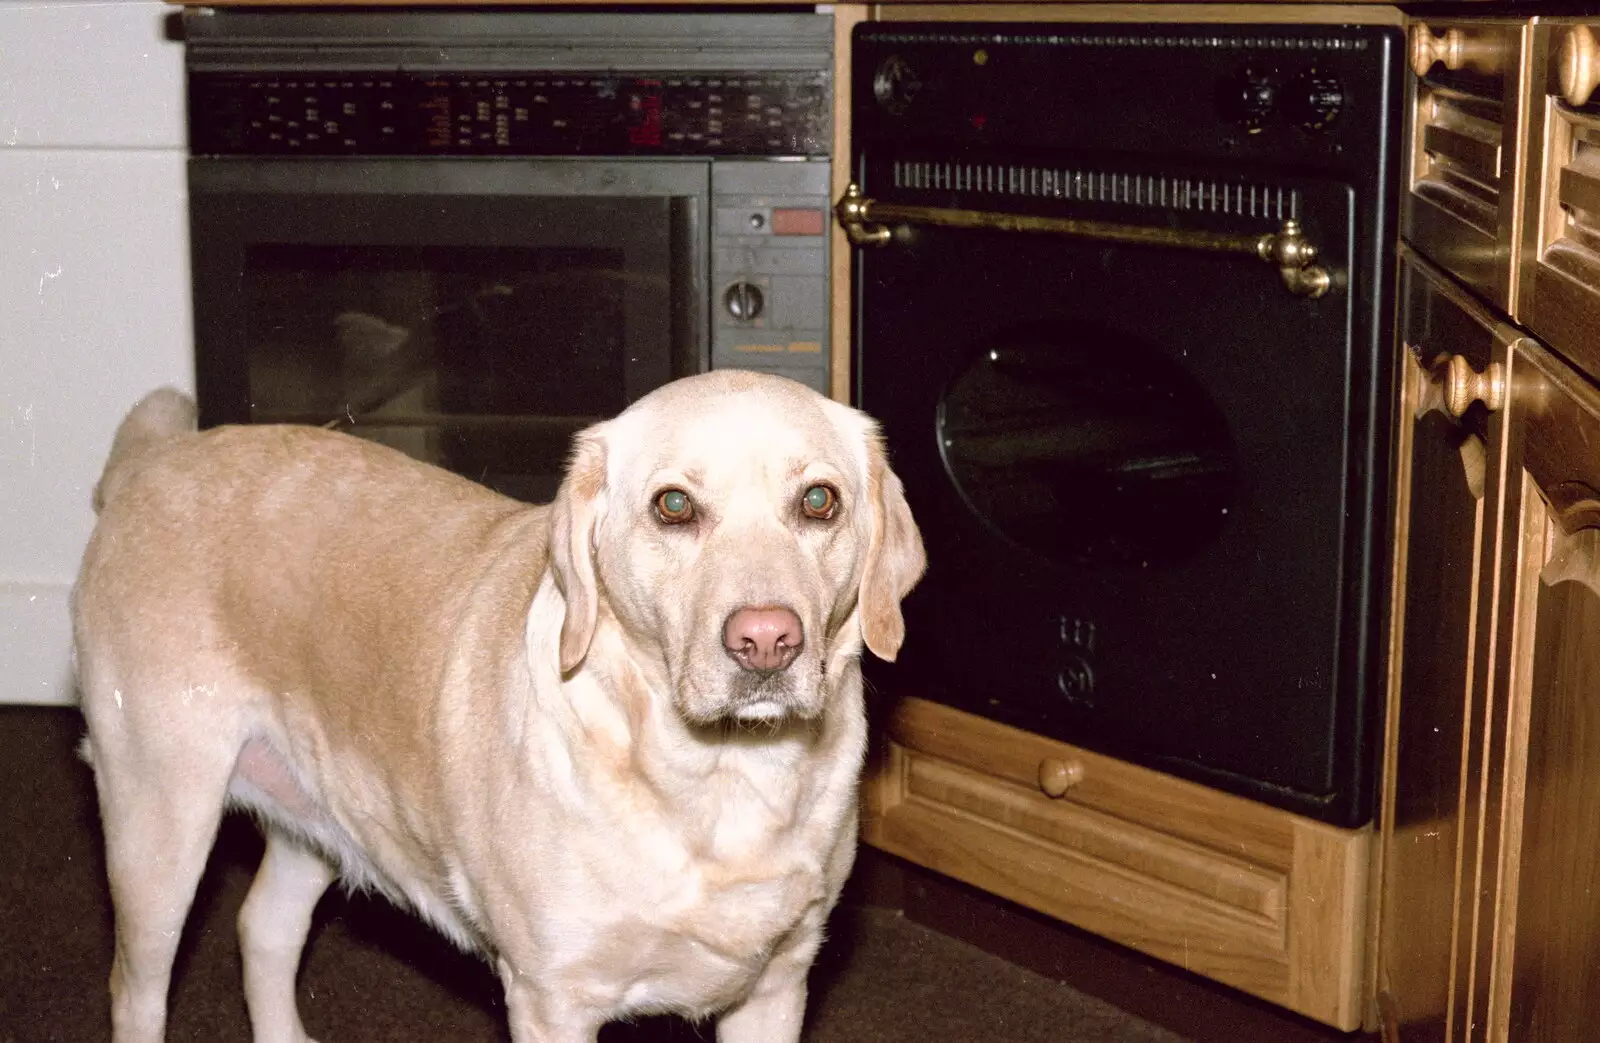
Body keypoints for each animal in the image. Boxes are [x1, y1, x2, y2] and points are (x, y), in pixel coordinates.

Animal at [72, 371, 928, 1043]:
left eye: (818, 500)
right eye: (674, 506)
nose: (767, 640)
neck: (722, 783)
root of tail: (154, 460)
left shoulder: (777, 987)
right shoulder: (552, 1001)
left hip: (320, 813)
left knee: (263, 929)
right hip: (158, 826)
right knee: (132, 992)